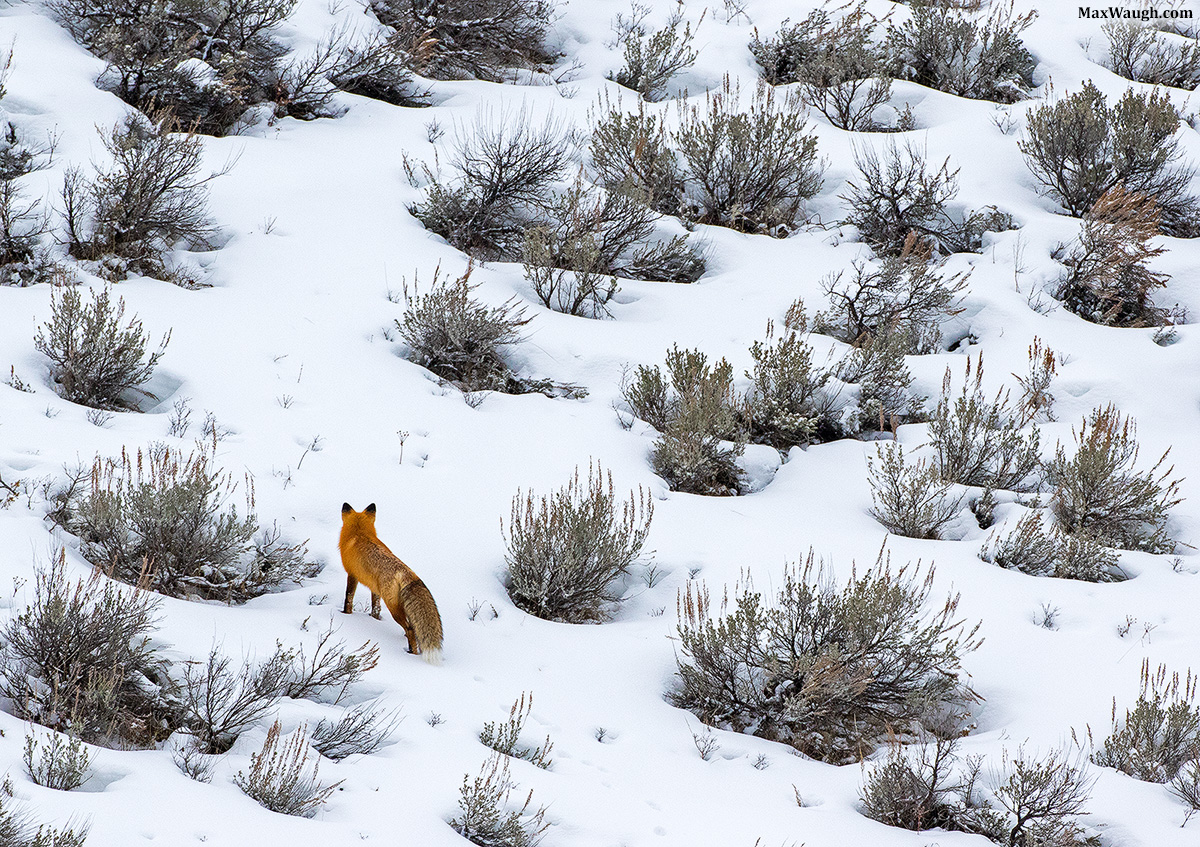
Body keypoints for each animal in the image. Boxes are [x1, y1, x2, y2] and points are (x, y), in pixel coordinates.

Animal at [339, 503, 444, 665]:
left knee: (410, 629)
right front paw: (374, 619)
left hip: (394, 608)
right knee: (414, 628)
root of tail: (407, 573)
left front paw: (346, 614)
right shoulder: (374, 589)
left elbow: (348, 597)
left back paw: (411, 653)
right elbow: (375, 607)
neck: (360, 533)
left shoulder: (352, 574)